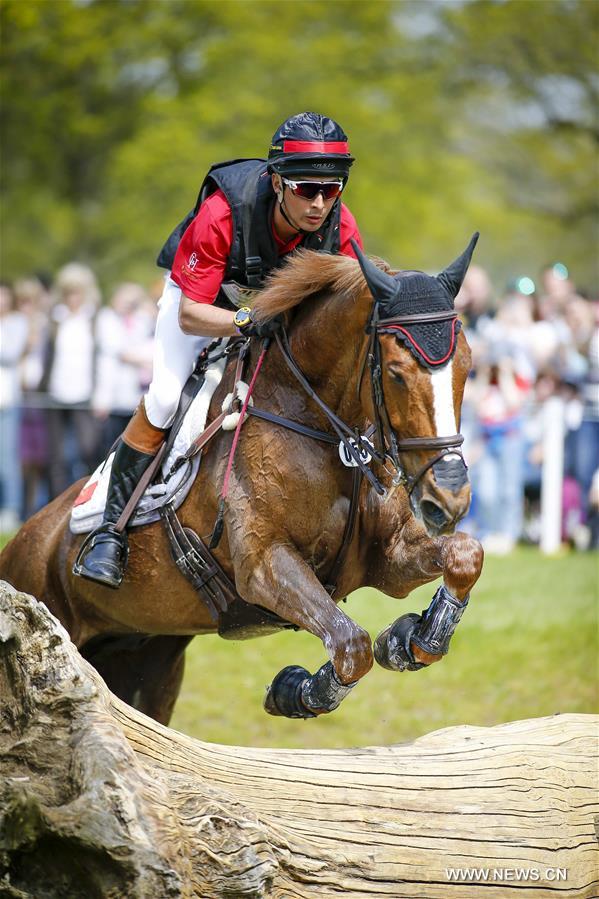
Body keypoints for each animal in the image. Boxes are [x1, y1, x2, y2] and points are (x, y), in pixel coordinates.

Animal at [0, 237, 486, 724]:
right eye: (397, 374)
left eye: (468, 366)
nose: (450, 497)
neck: (315, 421)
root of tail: (25, 539)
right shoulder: (263, 566)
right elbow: (352, 646)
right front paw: (295, 691)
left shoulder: (387, 556)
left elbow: (465, 555)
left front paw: (413, 638)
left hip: (147, 661)